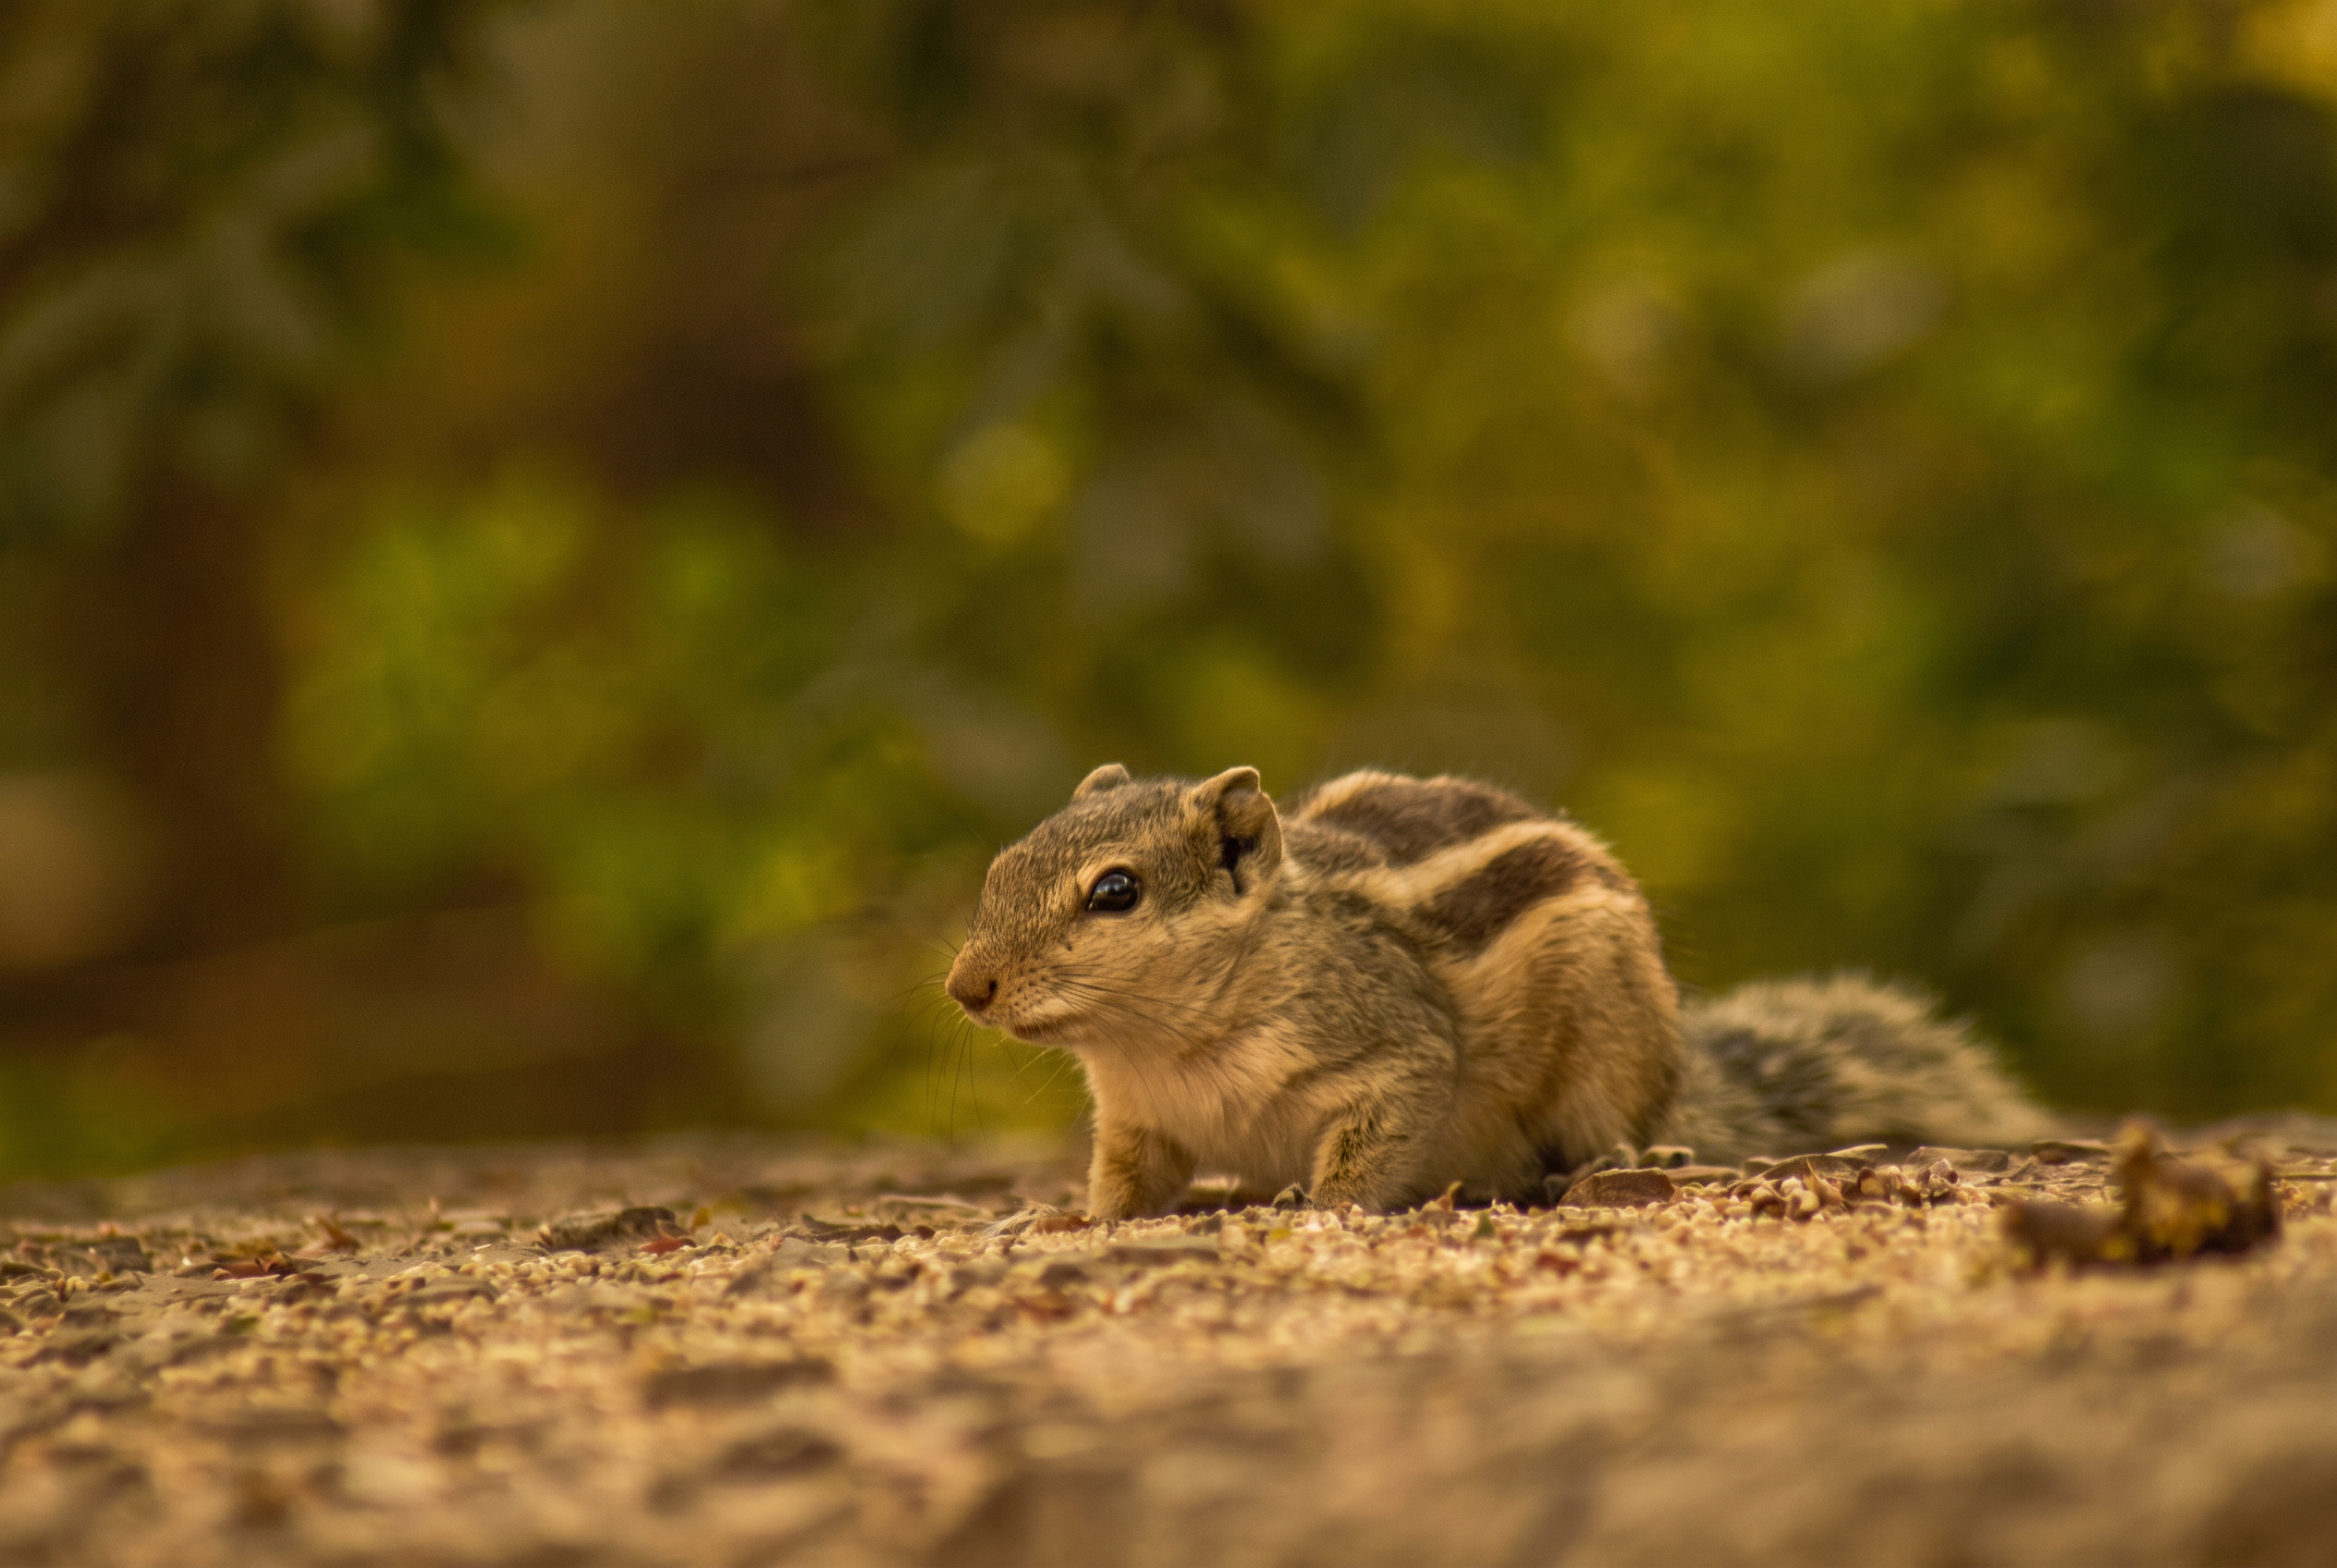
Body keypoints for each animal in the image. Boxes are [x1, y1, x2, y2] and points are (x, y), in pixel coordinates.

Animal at [944, 764, 2053, 1218]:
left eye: (1115, 892)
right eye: (999, 868)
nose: (965, 988)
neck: (1167, 1042)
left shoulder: (1393, 1053)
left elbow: (1372, 1140)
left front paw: (1323, 1203)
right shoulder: (1138, 1121)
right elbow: (1125, 1184)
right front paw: (1068, 1220)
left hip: (1606, 1050)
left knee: (1611, 1127)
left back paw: (1614, 1160)